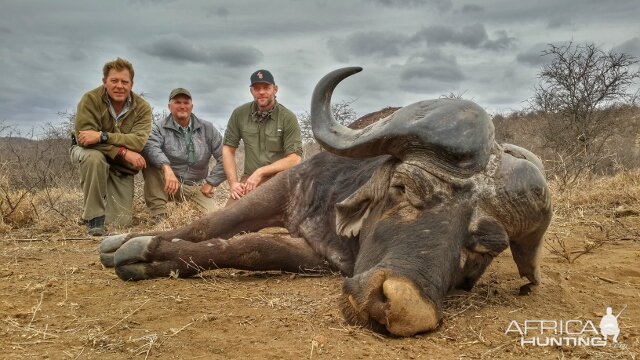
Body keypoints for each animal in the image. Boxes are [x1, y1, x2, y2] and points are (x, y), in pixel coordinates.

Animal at [97, 67, 552, 338]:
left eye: (484, 249)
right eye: (405, 187)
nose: (401, 305)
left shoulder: (322, 259)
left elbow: (251, 248)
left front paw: (150, 258)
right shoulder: (282, 189)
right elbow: (210, 226)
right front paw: (134, 245)